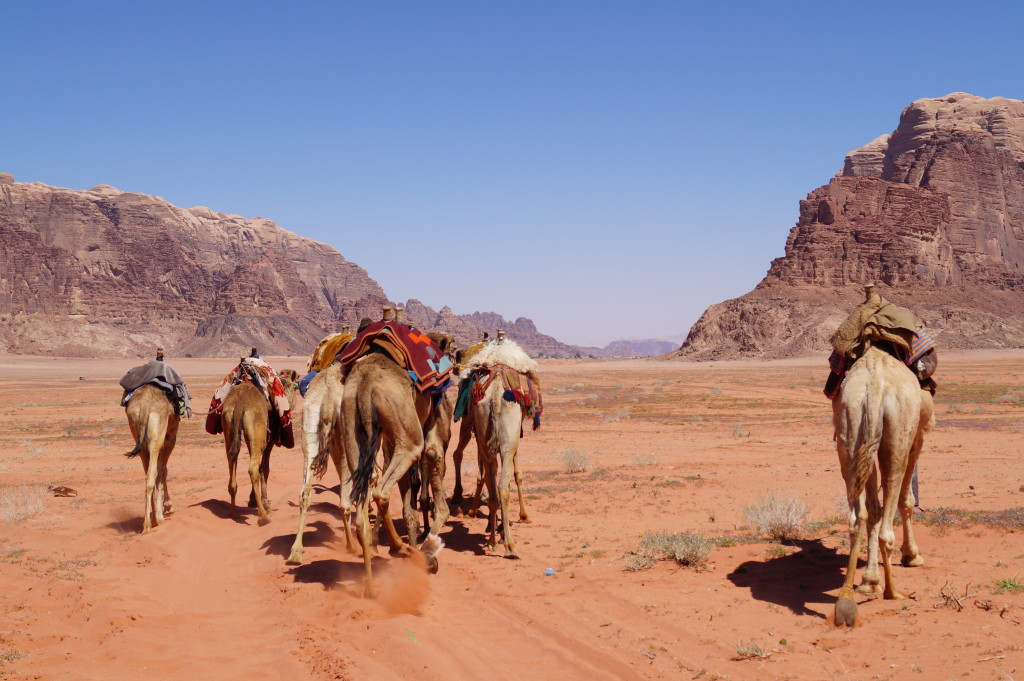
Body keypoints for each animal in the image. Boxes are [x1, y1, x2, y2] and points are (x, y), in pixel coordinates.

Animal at [123, 385, 180, 532]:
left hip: (138, 434)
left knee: (148, 474)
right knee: (152, 475)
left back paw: (151, 521)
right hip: (156, 438)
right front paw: (167, 507)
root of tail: (144, 407)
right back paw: (150, 523)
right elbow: (163, 471)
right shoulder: (170, 436)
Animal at [284, 364, 356, 565]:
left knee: (305, 493)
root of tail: (329, 394)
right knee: (344, 500)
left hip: (311, 428)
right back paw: (353, 546)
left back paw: (295, 552)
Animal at [831, 346, 937, 626]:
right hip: (898, 436)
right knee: (886, 523)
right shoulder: (917, 440)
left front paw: (869, 580)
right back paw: (892, 591)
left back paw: (850, 596)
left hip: (851, 432)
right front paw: (912, 555)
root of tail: (875, 386)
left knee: (860, 516)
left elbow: (872, 510)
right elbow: (907, 501)